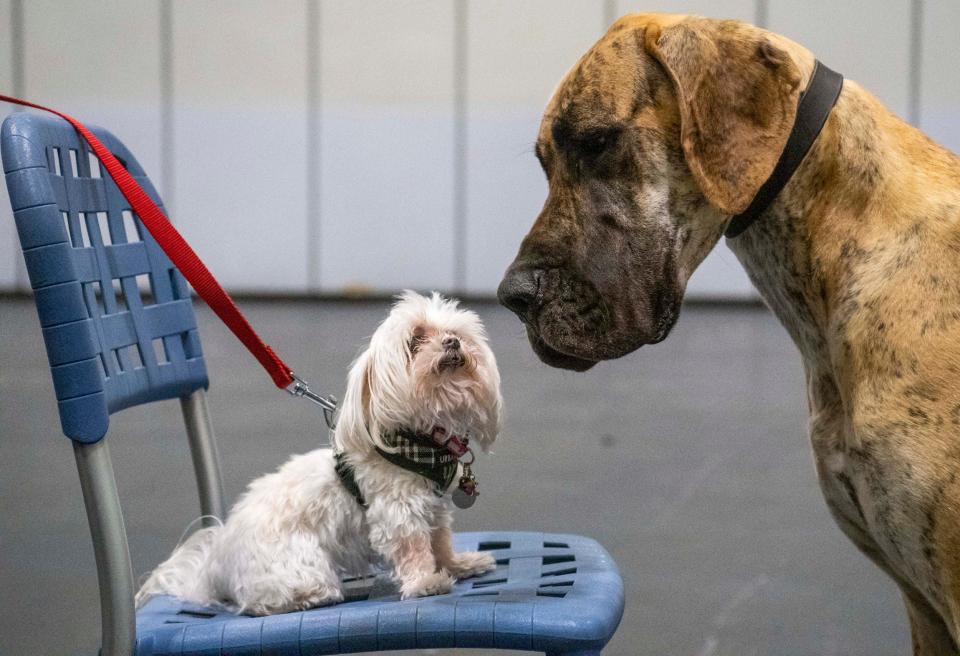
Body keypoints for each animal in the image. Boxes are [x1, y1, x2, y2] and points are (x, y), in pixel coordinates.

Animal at [140, 292, 510, 616]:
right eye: (415, 340)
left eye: (455, 333)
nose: (452, 342)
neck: (421, 445)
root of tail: (215, 567)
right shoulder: (398, 512)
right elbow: (414, 548)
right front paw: (426, 582)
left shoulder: (434, 508)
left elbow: (441, 540)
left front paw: (457, 565)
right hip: (300, 565)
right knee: (265, 601)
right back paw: (313, 597)